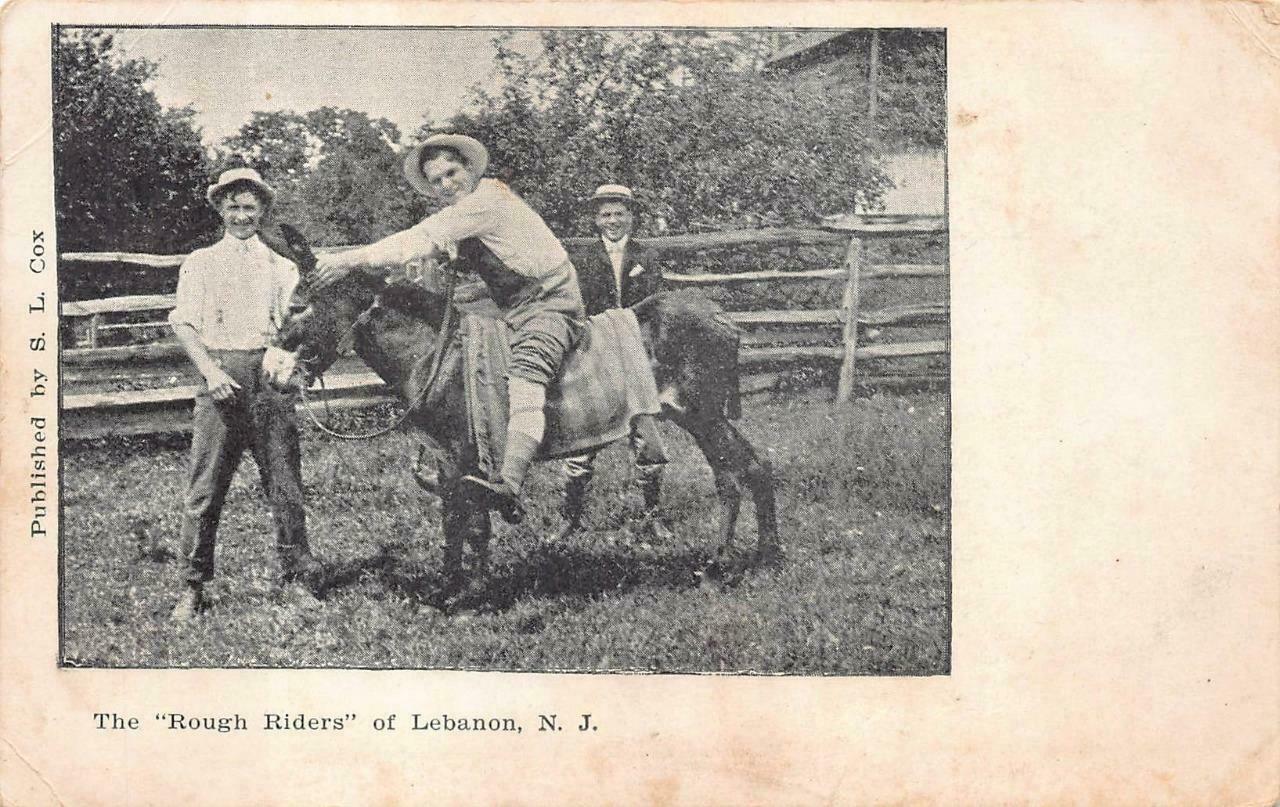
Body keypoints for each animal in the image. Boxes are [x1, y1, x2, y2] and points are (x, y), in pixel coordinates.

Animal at [269, 226, 781, 600]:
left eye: (297, 307)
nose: (271, 375)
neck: (436, 354)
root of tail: (720, 315)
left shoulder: (464, 454)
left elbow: (471, 520)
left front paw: (469, 597)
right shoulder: (446, 458)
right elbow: (455, 521)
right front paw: (451, 589)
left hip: (702, 414)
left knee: (734, 476)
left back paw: (720, 567)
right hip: (702, 415)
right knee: (752, 469)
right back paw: (758, 559)